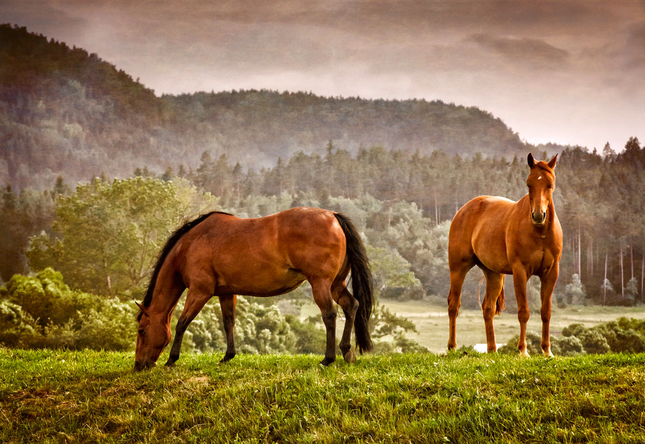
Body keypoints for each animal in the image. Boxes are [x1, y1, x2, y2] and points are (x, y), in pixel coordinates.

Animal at [135, 206, 372, 370]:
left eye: (141, 330)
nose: (139, 365)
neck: (191, 244)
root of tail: (333, 216)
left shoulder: (199, 292)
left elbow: (182, 323)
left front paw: (171, 359)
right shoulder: (226, 293)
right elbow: (228, 323)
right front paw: (227, 356)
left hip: (320, 283)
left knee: (330, 314)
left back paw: (328, 359)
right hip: (335, 284)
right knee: (351, 306)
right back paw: (347, 352)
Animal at [446, 154, 560, 356]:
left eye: (550, 184)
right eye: (529, 184)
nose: (538, 215)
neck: (540, 233)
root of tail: (464, 209)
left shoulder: (551, 273)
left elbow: (546, 312)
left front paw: (547, 351)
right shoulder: (520, 272)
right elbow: (523, 312)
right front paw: (523, 351)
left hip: (493, 274)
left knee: (488, 309)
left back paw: (492, 350)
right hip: (458, 268)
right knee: (454, 305)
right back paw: (452, 347)